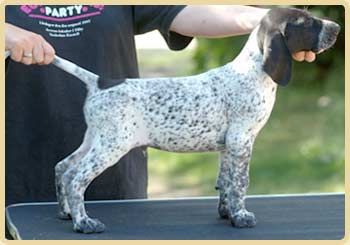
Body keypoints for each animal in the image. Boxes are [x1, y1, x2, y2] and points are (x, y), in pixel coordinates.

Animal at [52, 8, 340, 234]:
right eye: (306, 22)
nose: (337, 27)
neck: (254, 71)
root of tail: (99, 82)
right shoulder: (242, 140)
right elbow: (240, 183)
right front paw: (241, 217)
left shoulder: (228, 146)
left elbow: (226, 182)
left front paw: (228, 213)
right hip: (112, 145)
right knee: (76, 178)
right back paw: (84, 223)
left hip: (95, 139)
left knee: (63, 168)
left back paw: (66, 213)